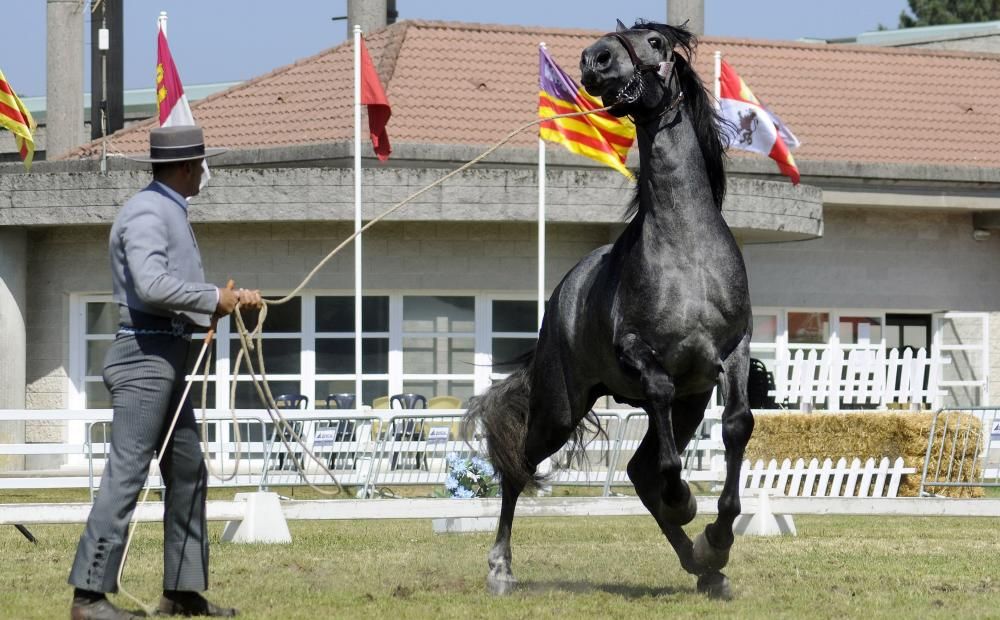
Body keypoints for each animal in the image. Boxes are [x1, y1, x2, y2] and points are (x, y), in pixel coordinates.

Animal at [464, 20, 752, 600]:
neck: (686, 251)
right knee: (520, 466)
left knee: (640, 472)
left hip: (690, 403)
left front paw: (717, 539)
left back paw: (703, 566)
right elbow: (661, 410)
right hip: (560, 408)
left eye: (656, 43)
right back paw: (501, 569)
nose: (594, 60)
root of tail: (563, 292)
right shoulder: (640, 356)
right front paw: (686, 502)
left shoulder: (731, 351)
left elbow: (735, 427)